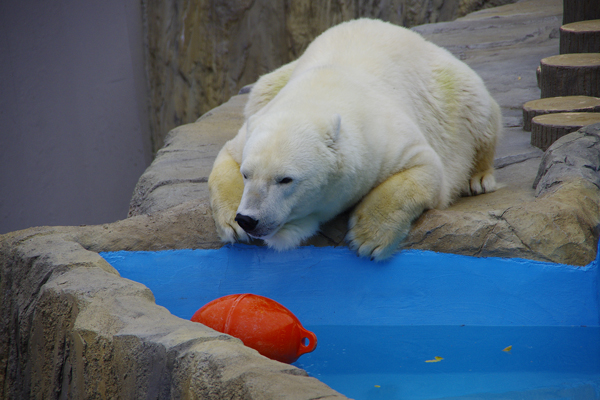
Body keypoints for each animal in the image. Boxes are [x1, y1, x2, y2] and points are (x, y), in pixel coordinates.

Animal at [209, 18, 500, 260]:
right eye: (247, 175)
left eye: (285, 179)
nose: (248, 219)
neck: (317, 94)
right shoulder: (255, 125)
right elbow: (226, 157)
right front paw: (231, 224)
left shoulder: (382, 137)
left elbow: (424, 168)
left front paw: (369, 238)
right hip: (269, 84)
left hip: (452, 92)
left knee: (480, 115)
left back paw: (479, 179)